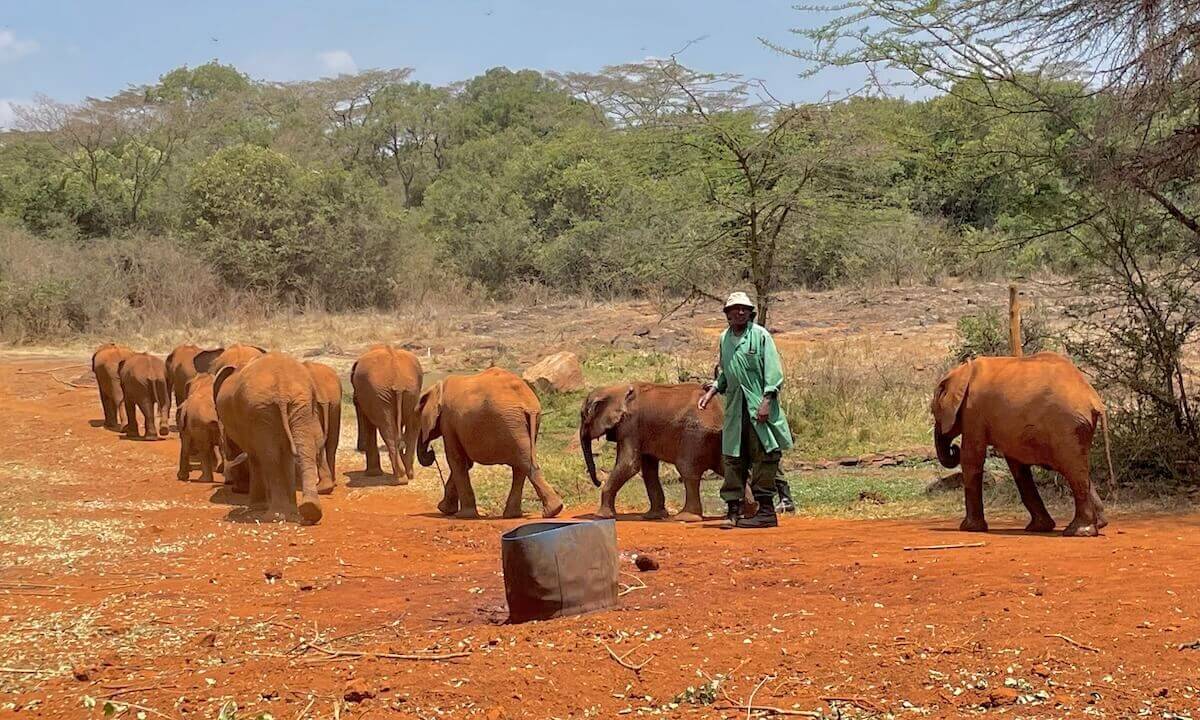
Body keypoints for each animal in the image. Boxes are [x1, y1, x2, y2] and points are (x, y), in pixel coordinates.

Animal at [214, 352, 324, 524]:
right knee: (301, 449)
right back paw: (307, 510)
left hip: (260, 409)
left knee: (269, 456)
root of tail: (282, 386)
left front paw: (257, 508)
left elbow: (256, 456)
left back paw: (274, 515)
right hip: (295, 405)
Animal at [350, 345, 422, 484]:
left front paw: (372, 474)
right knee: (411, 427)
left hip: (379, 393)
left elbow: (369, 424)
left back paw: (400, 478)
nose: (359, 448)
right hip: (411, 391)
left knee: (387, 429)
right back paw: (408, 474)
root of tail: (398, 380)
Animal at [417, 367, 563, 519]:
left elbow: (456, 460)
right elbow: (466, 462)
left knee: (523, 462)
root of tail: (528, 403)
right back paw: (518, 514)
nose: (431, 452)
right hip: (523, 423)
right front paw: (446, 510)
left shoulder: (448, 421)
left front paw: (462, 515)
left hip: (509, 422)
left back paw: (550, 511)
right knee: (522, 463)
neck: (438, 387)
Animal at [580, 382, 723, 522]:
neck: (617, 388)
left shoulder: (629, 426)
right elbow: (648, 468)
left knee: (687, 470)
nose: (599, 482)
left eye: (583, 415)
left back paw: (686, 518)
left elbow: (629, 465)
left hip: (695, 436)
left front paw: (601, 516)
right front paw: (654, 516)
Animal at [932, 351, 1114, 537]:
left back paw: (1077, 532)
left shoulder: (973, 411)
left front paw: (969, 528)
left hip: (1067, 427)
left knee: (1074, 471)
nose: (953, 448)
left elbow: (971, 458)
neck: (962, 371)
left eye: (933, 412)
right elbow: (1017, 466)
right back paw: (1098, 525)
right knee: (1080, 470)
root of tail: (1094, 400)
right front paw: (1039, 527)